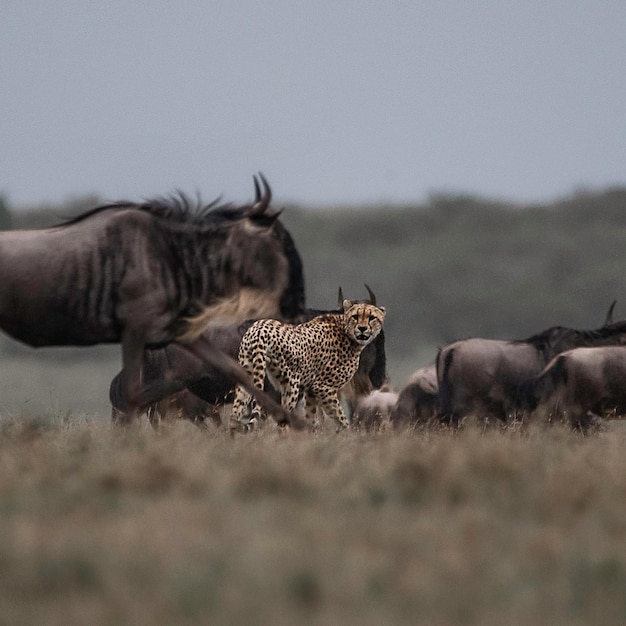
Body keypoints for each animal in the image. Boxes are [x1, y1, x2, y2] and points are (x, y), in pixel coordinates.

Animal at [229, 292, 386, 428]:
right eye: (355, 316)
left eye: (372, 317)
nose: (362, 328)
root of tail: (259, 329)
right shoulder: (323, 387)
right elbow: (340, 417)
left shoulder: (311, 391)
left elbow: (313, 417)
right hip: (291, 386)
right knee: (281, 421)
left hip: (247, 381)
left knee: (234, 417)